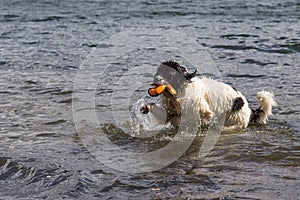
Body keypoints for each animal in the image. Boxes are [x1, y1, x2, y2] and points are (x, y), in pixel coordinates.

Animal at [140, 60, 276, 130]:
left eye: (169, 73)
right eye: (159, 71)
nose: (156, 79)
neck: (178, 94)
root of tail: (248, 108)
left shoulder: (203, 111)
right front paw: (146, 106)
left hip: (233, 120)